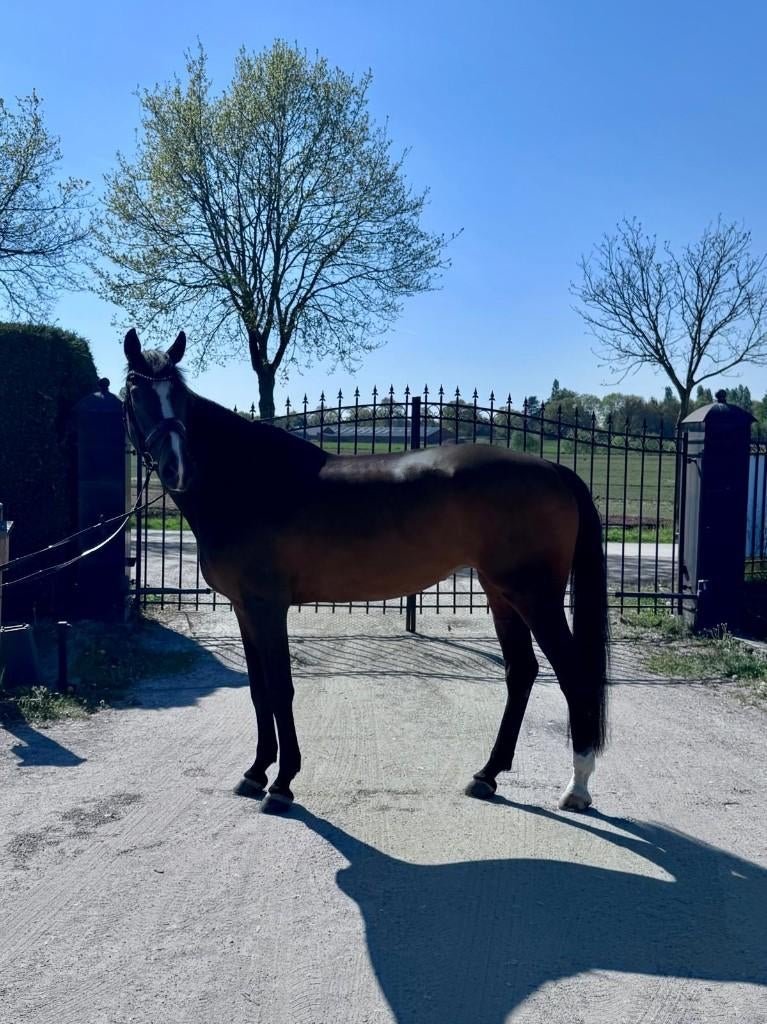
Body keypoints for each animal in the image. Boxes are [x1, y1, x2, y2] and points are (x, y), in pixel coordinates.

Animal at [123, 329, 609, 814]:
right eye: (136, 391)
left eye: (179, 395)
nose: (177, 468)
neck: (249, 481)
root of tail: (553, 468)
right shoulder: (245, 609)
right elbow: (259, 690)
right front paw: (256, 772)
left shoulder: (267, 607)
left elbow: (281, 688)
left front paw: (282, 783)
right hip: (500, 593)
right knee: (521, 671)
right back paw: (487, 775)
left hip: (535, 598)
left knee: (572, 675)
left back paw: (577, 787)